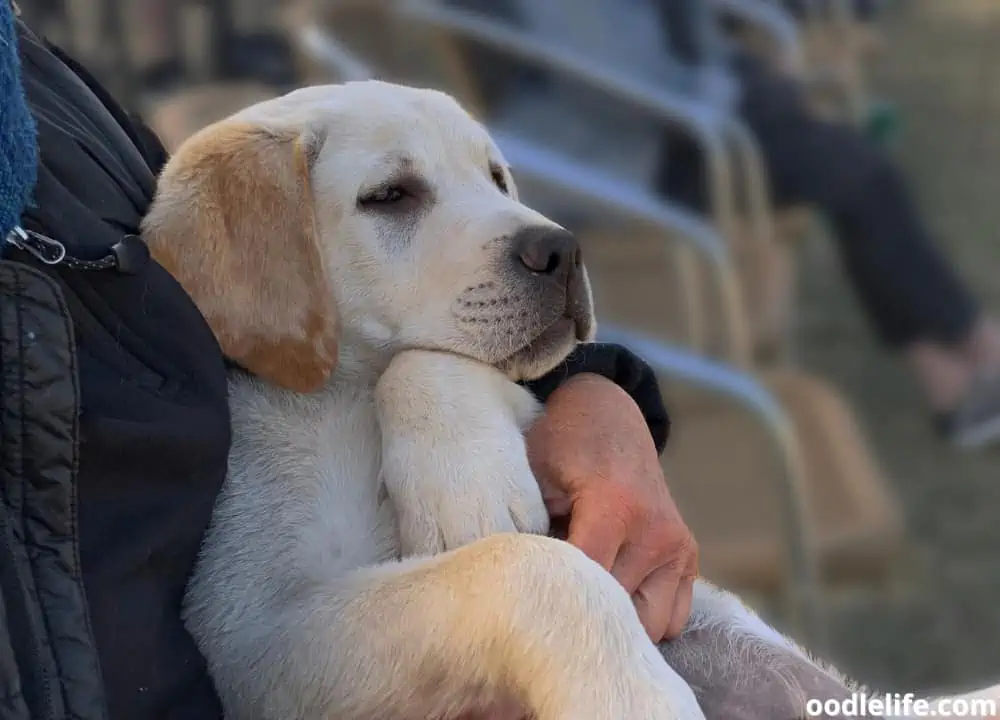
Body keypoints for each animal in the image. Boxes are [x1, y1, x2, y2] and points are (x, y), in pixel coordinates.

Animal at [143, 81, 1000, 720]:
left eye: (497, 178)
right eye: (389, 196)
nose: (562, 250)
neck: (339, 399)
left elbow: (436, 365)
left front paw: (465, 485)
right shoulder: (254, 641)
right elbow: (534, 567)